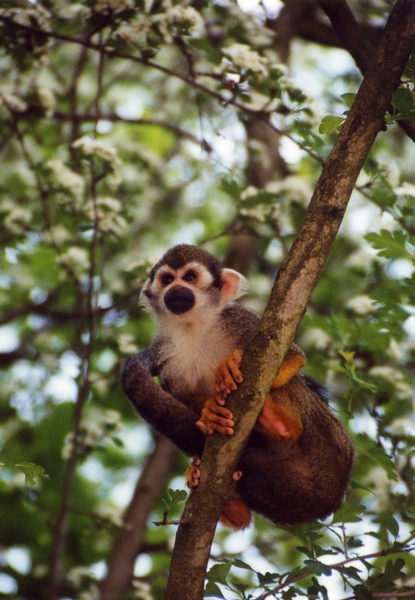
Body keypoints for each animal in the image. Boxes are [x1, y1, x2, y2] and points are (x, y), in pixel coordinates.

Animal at [122, 244, 356, 528]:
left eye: (190, 277)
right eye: (167, 279)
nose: (176, 289)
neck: (193, 327)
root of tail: (330, 495)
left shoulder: (239, 319)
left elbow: (293, 355)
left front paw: (230, 365)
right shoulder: (163, 352)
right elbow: (185, 396)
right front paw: (209, 414)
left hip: (327, 439)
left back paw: (280, 423)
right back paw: (232, 506)